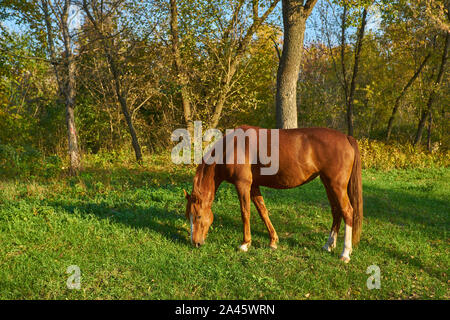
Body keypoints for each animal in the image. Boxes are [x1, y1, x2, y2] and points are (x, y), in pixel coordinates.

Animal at [183, 125, 362, 262]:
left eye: (198, 216)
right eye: (188, 216)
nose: (195, 243)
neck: (233, 147)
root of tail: (346, 137)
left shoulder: (243, 185)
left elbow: (245, 213)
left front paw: (245, 243)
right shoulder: (254, 186)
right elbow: (263, 212)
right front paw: (273, 241)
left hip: (337, 186)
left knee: (347, 212)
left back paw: (345, 253)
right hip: (327, 183)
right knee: (336, 211)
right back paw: (328, 245)